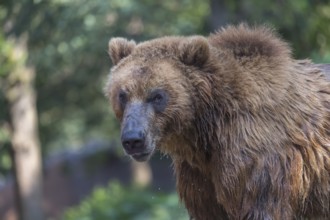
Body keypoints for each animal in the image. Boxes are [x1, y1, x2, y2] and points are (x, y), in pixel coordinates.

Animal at [104, 24, 330, 219]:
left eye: (157, 95)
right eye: (122, 95)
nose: (133, 139)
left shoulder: (257, 159)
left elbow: (258, 205)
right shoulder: (199, 176)